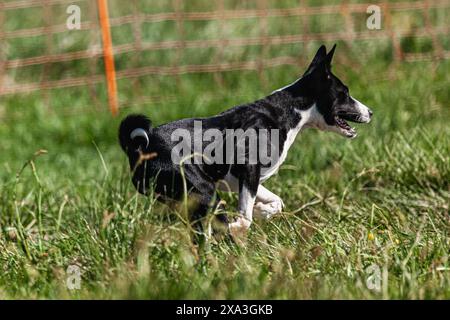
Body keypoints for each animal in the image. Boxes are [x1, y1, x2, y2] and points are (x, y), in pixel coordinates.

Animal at [118, 44, 370, 240]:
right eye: (344, 93)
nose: (371, 112)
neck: (286, 112)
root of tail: (141, 147)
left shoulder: (246, 178)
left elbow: (276, 202)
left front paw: (262, 211)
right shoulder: (247, 167)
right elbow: (245, 215)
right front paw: (241, 223)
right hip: (205, 190)